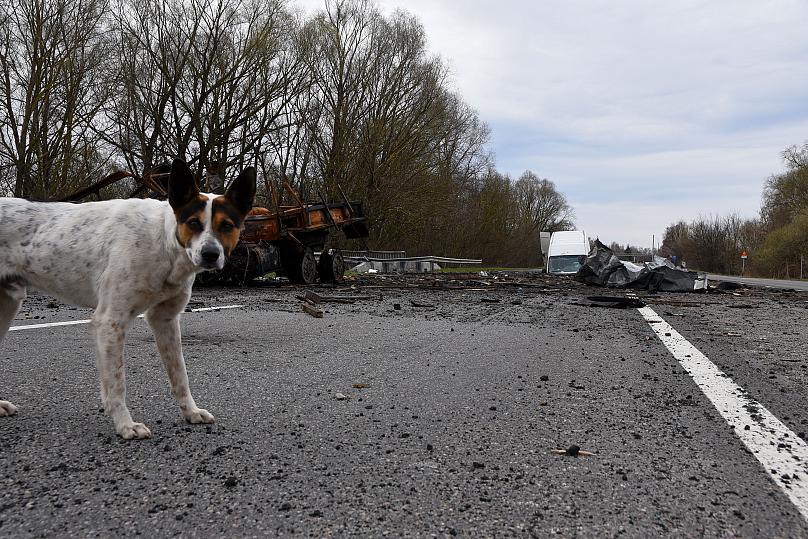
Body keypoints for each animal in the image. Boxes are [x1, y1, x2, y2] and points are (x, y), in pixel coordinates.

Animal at [0, 159, 256, 438]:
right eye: (193, 223)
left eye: (227, 226)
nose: (210, 254)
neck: (163, 243)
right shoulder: (111, 321)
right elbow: (117, 384)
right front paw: (125, 424)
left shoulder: (165, 320)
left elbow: (180, 376)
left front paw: (191, 412)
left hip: (7, 306)